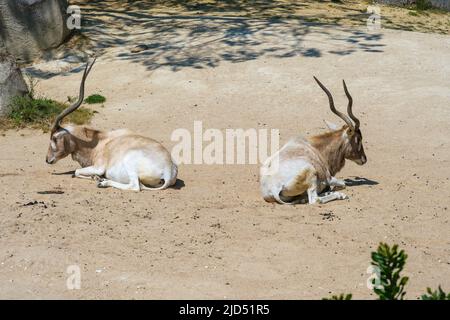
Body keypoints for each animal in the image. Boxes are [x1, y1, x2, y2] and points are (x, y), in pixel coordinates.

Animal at [45, 58, 178, 190]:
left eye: (54, 138)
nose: (47, 160)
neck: (99, 143)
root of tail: (169, 171)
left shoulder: (98, 167)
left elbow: (76, 172)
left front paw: (97, 178)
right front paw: (96, 177)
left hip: (130, 163)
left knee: (135, 186)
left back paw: (103, 182)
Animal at [258, 76, 368, 204]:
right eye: (358, 138)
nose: (364, 159)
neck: (316, 148)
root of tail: (273, 189)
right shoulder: (329, 177)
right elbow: (342, 183)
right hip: (311, 174)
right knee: (315, 199)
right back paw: (339, 195)